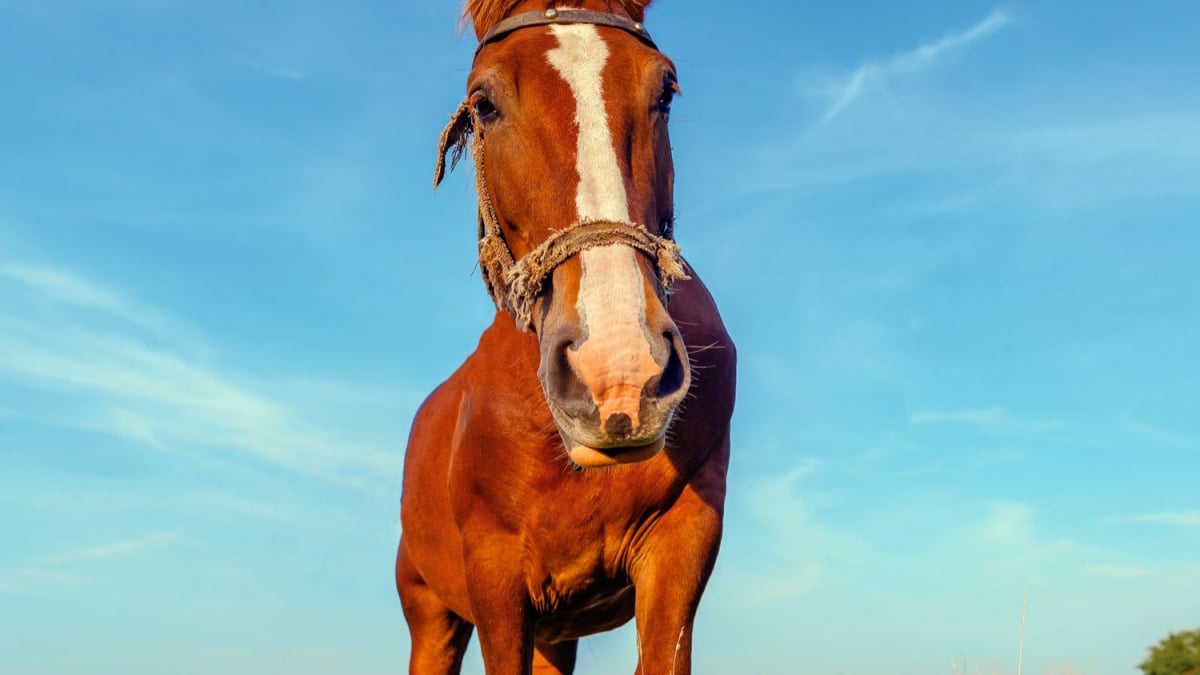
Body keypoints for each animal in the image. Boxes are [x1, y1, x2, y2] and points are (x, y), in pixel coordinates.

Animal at [396, 2, 729, 667]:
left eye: (665, 90)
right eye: (484, 103)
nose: (619, 375)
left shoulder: (683, 545)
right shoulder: (494, 578)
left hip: (558, 633)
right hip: (432, 618)